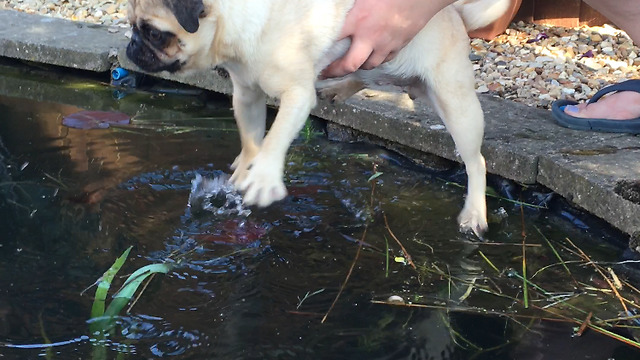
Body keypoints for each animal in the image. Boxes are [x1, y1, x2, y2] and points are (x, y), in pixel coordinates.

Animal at [125, 0, 510, 236]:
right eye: (133, 28)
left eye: (154, 33)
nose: (131, 48)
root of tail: (454, 14)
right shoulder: (247, 94)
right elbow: (252, 137)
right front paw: (247, 166)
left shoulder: (296, 94)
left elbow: (275, 137)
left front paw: (263, 175)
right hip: (377, 61)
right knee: (365, 74)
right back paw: (338, 88)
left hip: (455, 103)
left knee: (476, 163)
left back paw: (474, 213)